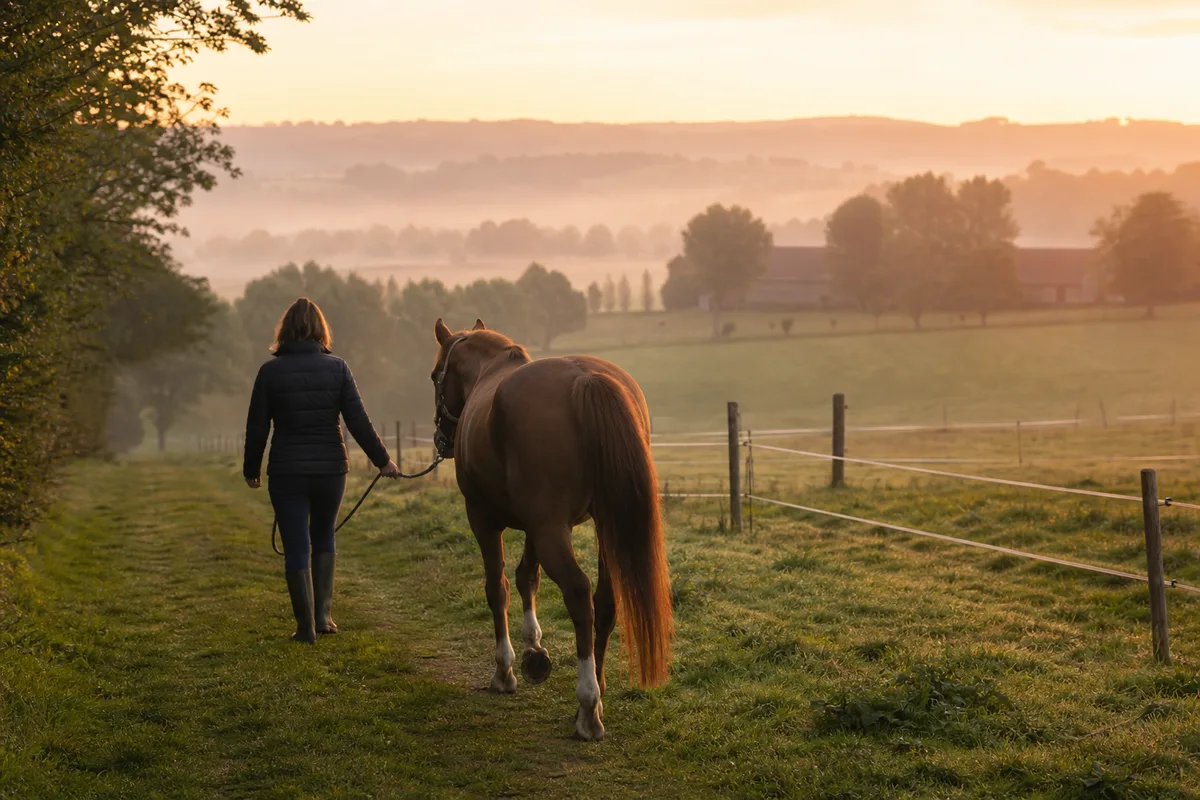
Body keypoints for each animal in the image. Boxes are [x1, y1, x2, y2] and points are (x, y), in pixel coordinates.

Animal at [429, 317, 673, 741]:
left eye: (434, 377)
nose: (441, 438)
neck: (488, 372)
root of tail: (586, 378)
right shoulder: (535, 526)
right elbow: (528, 577)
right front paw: (534, 652)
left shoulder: (485, 519)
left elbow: (498, 588)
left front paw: (506, 669)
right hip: (592, 526)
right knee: (604, 601)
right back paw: (597, 690)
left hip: (549, 530)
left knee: (578, 592)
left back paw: (588, 706)